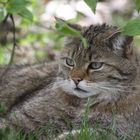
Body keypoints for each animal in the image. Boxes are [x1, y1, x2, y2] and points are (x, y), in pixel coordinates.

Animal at [0, 21, 140, 139]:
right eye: (69, 62)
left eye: (95, 65)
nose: (75, 79)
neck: (83, 105)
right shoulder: (21, 118)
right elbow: (6, 128)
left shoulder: (115, 132)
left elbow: (81, 134)